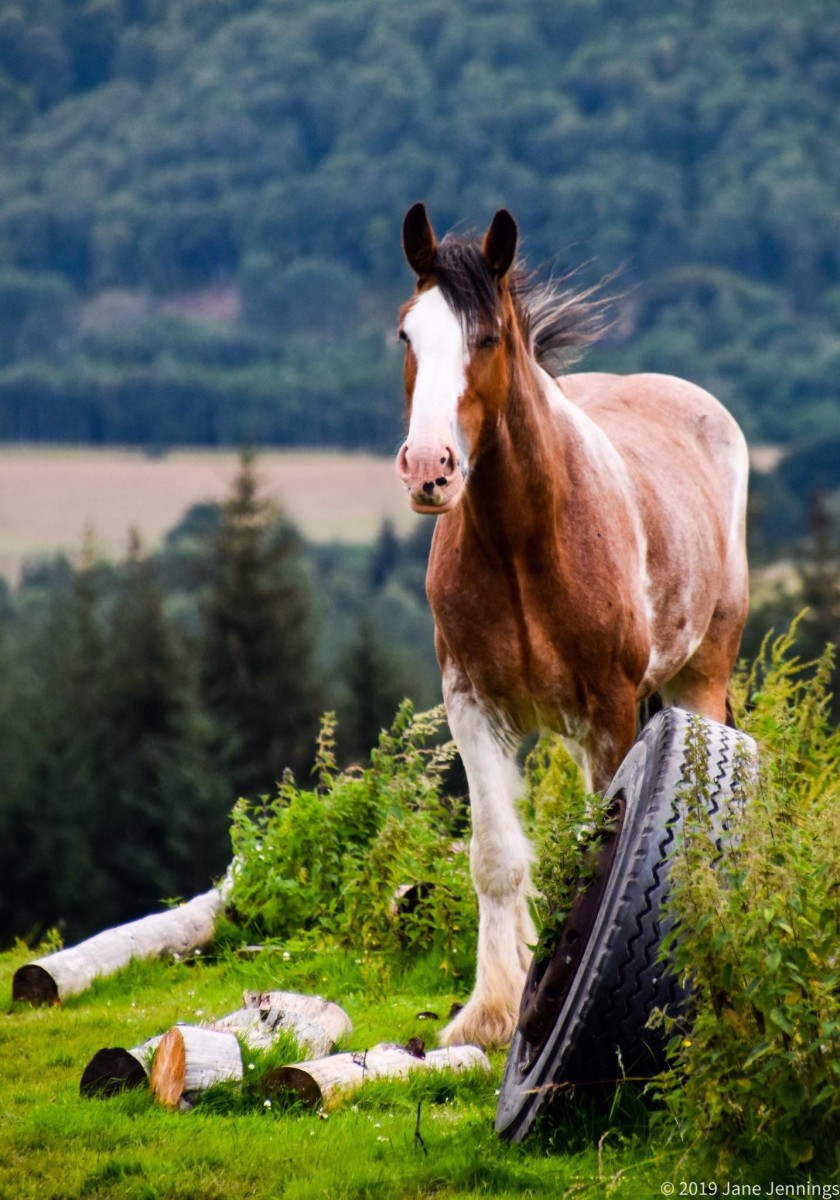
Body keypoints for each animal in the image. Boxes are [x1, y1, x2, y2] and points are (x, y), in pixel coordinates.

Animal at [395, 203, 750, 1049]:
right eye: (406, 334)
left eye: (488, 337)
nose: (428, 470)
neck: (524, 540)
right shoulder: (475, 706)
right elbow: (496, 856)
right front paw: (490, 1015)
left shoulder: (609, 711)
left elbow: (595, 855)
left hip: (699, 681)